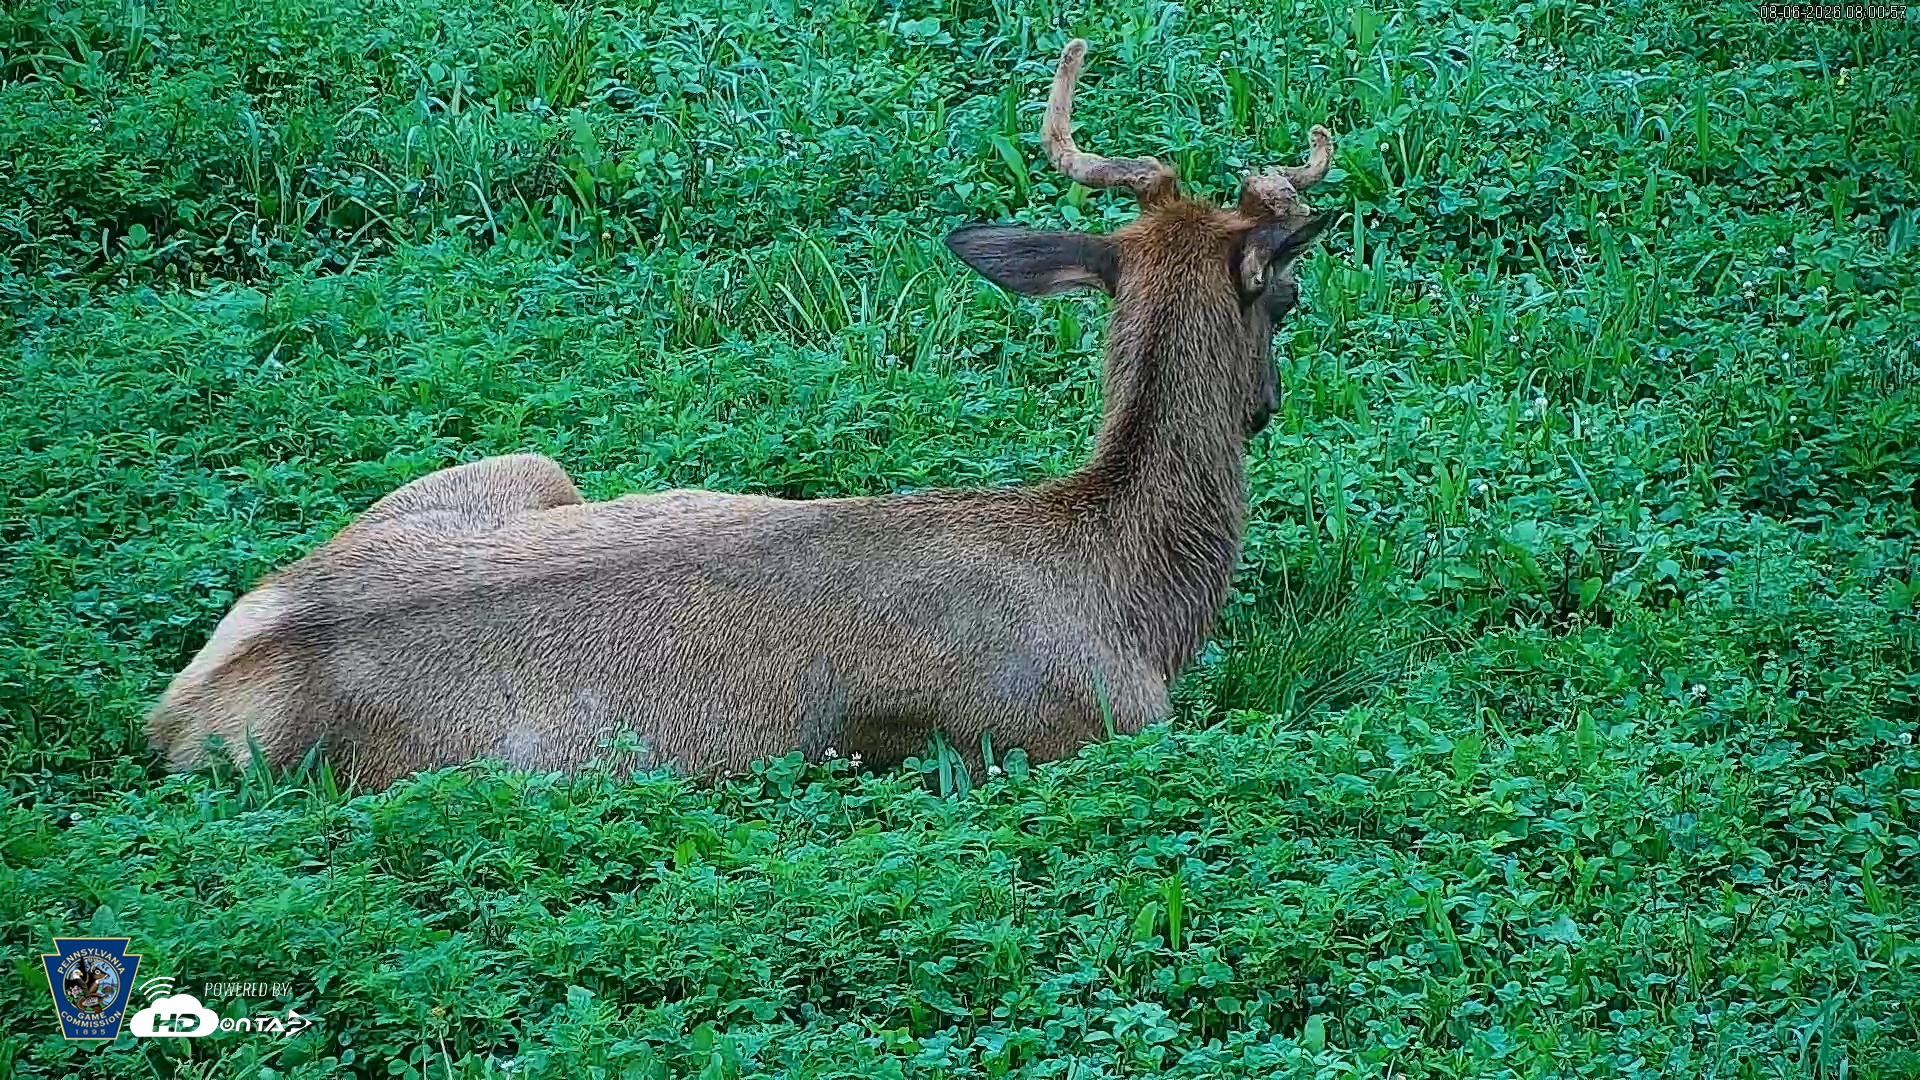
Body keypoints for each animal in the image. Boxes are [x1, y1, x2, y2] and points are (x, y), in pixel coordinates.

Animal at [146, 40, 1337, 790]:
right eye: (1285, 296)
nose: (1267, 407)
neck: (1129, 600)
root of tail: (188, 709)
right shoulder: (1082, 726)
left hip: (519, 464)